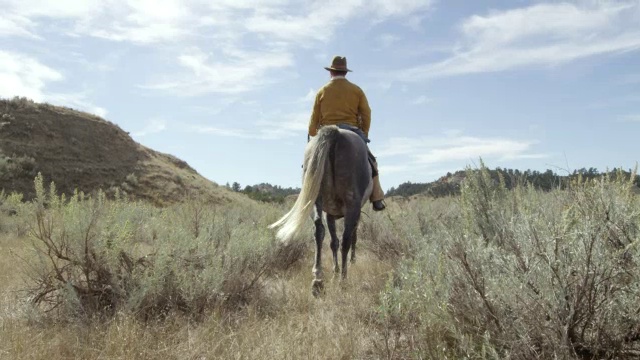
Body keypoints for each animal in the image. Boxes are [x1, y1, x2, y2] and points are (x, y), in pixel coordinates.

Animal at [268, 125, 372, 296]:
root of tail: (336, 133)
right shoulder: (351, 214)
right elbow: (348, 239)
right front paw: (345, 267)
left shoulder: (329, 214)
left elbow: (333, 242)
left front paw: (334, 272)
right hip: (352, 203)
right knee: (346, 240)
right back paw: (343, 280)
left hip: (316, 199)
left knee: (319, 230)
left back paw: (318, 280)